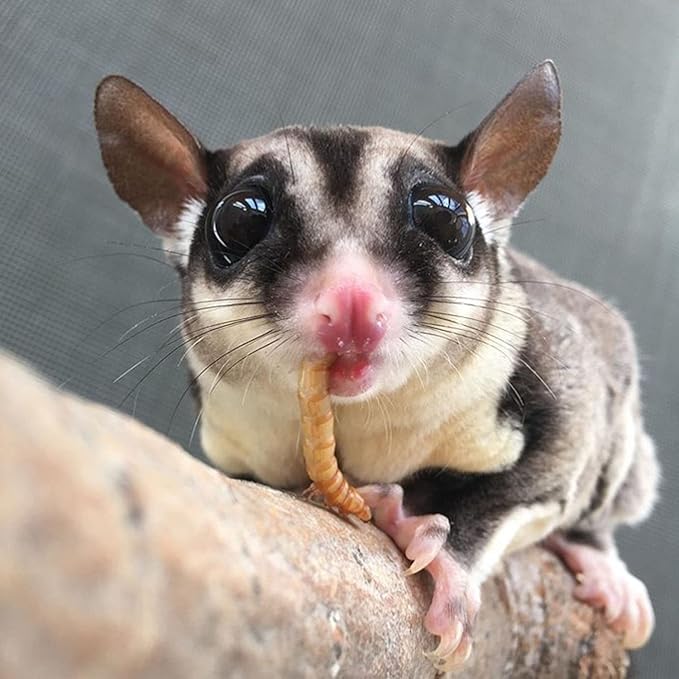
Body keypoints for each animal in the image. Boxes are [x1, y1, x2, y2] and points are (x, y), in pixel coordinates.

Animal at [94, 61, 658, 670]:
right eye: (239, 222)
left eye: (444, 218)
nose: (351, 303)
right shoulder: (237, 442)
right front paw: (382, 510)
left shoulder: (551, 373)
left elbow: (535, 475)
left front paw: (448, 566)